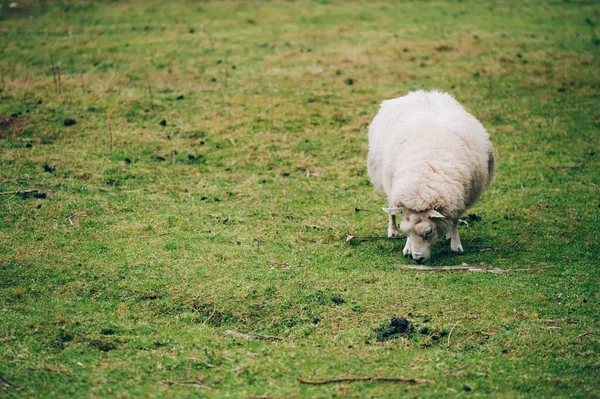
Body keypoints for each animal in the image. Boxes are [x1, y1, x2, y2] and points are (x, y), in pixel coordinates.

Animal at [368, 90, 494, 262]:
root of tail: (420, 93)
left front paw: (456, 245)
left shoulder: (458, 197)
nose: (417, 259)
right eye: (406, 232)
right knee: (391, 210)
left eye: (428, 232)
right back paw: (392, 231)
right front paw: (407, 248)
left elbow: (454, 221)